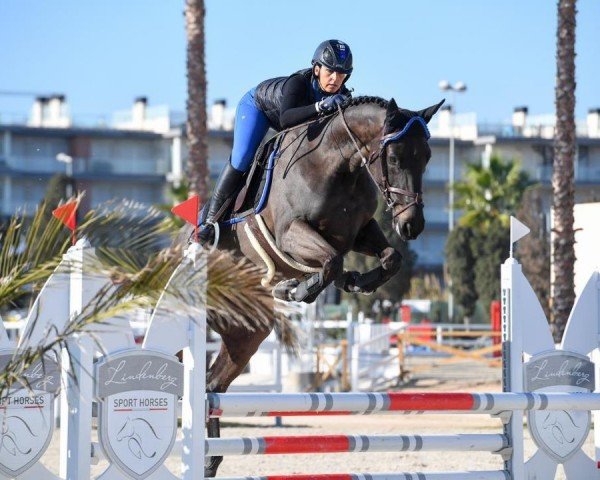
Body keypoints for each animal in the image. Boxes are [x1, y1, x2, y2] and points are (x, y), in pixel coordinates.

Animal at [190, 94, 442, 476]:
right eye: (395, 158)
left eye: (426, 157)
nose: (412, 225)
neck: (338, 164)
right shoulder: (291, 233)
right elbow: (331, 261)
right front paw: (295, 289)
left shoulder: (357, 232)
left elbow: (388, 258)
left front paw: (357, 281)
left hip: (245, 332)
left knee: (213, 384)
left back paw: (210, 459)